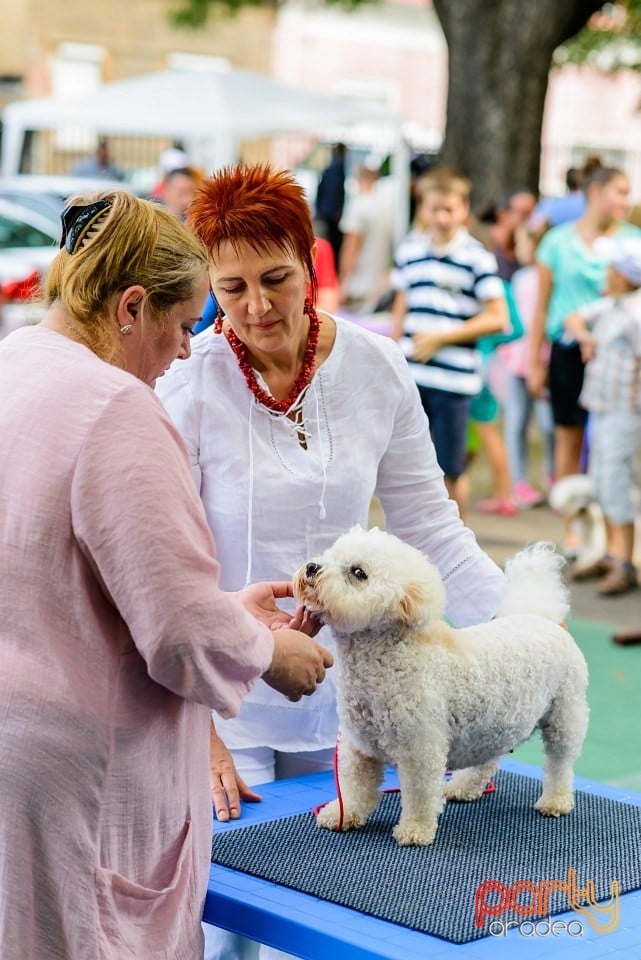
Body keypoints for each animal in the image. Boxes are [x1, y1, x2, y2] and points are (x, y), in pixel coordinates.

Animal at [292, 528, 588, 852]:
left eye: (358, 573)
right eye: (329, 555)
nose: (312, 567)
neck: (388, 660)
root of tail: (542, 617)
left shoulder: (420, 749)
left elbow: (420, 796)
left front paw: (415, 831)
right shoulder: (358, 748)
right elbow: (354, 788)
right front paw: (342, 815)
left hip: (564, 716)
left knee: (560, 765)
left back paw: (555, 801)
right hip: (494, 722)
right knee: (489, 759)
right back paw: (462, 786)